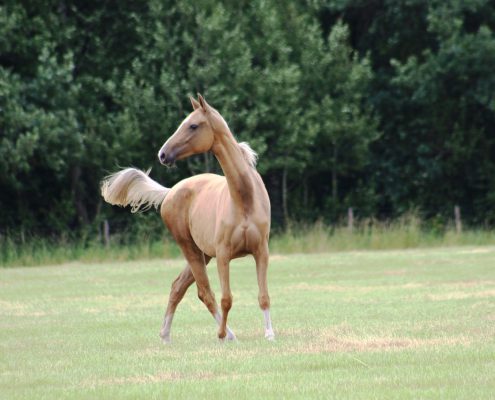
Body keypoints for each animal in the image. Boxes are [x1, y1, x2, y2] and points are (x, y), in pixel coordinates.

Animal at [101, 95, 276, 342]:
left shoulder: (261, 252)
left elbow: (263, 295)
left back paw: (165, 335)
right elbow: (226, 298)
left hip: (203, 254)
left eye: (193, 125)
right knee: (204, 292)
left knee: (178, 287)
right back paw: (227, 334)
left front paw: (270, 334)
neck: (244, 199)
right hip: (190, 249)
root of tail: (170, 192)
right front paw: (222, 335)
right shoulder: (224, 255)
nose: (163, 154)